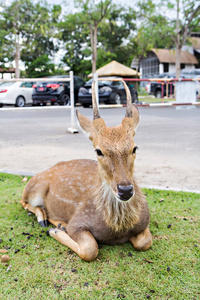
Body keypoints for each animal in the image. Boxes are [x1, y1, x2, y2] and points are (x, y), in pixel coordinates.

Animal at [20, 81, 152, 262]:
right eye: (99, 151)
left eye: (134, 147)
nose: (125, 190)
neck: (117, 228)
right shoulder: (78, 221)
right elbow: (90, 250)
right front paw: (56, 230)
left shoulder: (145, 222)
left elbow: (145, 242)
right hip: (34, 188)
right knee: (24, 202)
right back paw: (49, 222)